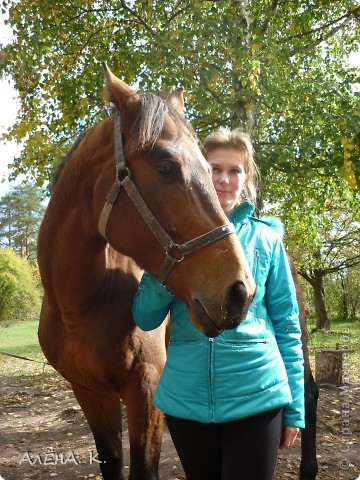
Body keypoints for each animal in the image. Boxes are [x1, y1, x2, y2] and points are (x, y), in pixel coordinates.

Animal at [36, 63, 256, 480]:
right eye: (166, 167)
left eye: (209, 169)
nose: (240, 291)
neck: (81, 306)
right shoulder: (89, 392)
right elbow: (111, 461)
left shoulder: (145, 389)